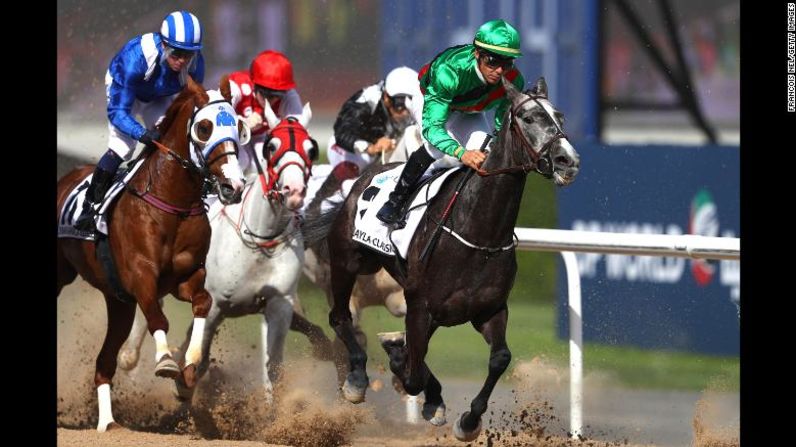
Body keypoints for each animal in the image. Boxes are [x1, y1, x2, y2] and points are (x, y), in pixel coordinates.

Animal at [56, 77, 246, 434]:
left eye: (238, 127)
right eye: (204, 127)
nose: (234, 185)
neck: (172, 204)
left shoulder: (187, 277)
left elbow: (203, 303)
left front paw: (190, 366)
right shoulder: (141, 275)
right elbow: (159, 318)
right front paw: (167, 361)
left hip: (118, 302)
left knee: (104, 363)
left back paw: (108, 423)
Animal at [314, 76, 580, 440]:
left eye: (560, 117)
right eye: (528, 118)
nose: (568, 160)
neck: (480, 232)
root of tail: (365, 177)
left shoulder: (489, 309)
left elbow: (500, 358)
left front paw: (468, 421)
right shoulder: (420, 304)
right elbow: (412, 373)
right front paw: (415, 381)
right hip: (348, 262)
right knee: (340, 318)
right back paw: (356, 378)